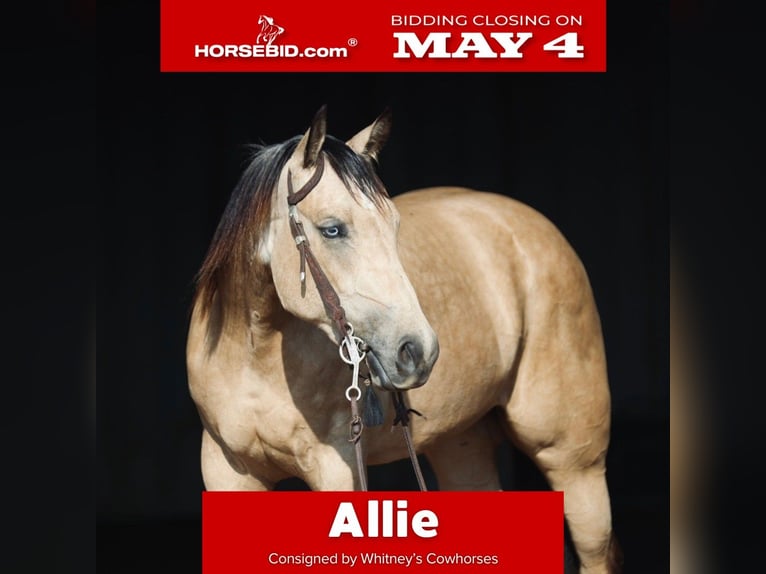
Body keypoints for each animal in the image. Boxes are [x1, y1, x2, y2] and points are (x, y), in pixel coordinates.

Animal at [186, 106, 623, 574]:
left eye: (393, 224)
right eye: (332, 229)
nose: (418, 351)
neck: (256, 355)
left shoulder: (335, 468)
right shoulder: (227, 471)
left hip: (573, 459)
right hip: (461, 444)